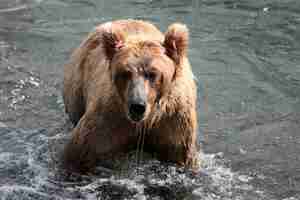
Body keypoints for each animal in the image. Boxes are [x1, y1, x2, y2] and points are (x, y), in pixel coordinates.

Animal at [63, 19, 198, 172]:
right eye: (125, 73)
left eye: (153, 74)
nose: (137, 106)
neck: (147, 120)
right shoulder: (109, 118)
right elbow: (81, 152)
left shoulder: (173, 121)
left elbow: (180, 156)